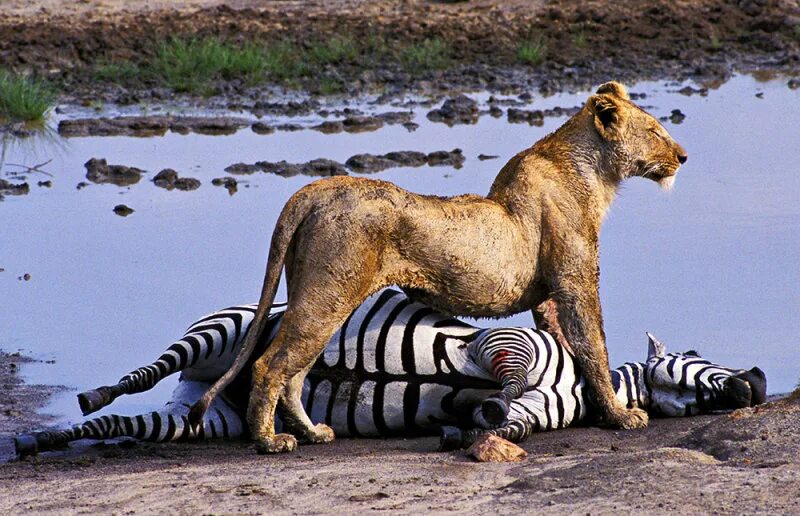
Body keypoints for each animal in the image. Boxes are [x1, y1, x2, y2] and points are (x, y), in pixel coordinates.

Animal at [188, 79, 688, 452]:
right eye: (655, 132)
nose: (683, 157)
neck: (594, 172)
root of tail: (315, 189)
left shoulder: (548, 296)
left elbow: (567, 345)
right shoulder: (576, 283)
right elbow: (594, 346)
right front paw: (622, 415)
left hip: (317, 295)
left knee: (294, 371)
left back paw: (312, 433)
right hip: (327, 294)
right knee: (269, 365)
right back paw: (270, 441)